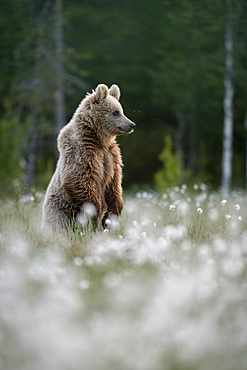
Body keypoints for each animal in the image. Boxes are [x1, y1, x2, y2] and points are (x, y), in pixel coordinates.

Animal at [42, 85, 135, 233]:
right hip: (61, 210)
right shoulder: (82, 152)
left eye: (121, 110)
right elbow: (78, 179)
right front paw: (96, 213)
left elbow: (114, 182)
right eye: (115, 112)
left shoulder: (111, 156)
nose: (131, 124)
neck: (98, 139)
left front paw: (112, 214)